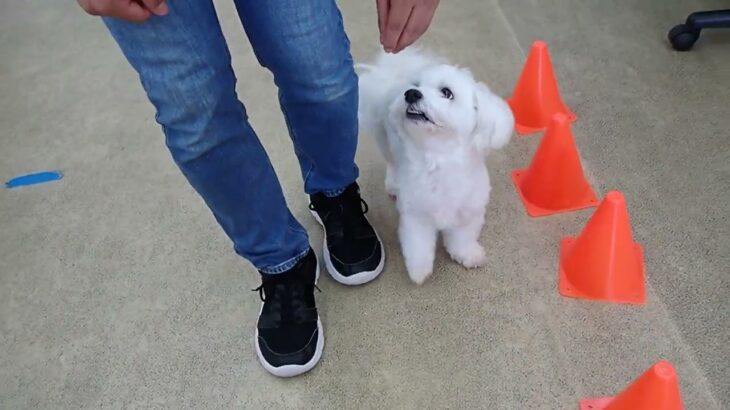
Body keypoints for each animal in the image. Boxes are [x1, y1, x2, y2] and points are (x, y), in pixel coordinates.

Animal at [356, 48, 512, 286]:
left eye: (447, 92)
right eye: (417, 85)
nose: (411, 93)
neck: (439, 159)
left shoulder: (468, 215)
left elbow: (462, 239)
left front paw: (467, 254)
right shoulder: (416, 217)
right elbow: (418, 246)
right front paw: (419, 271)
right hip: (387, 143)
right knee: (391, 163)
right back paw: (393, 185)